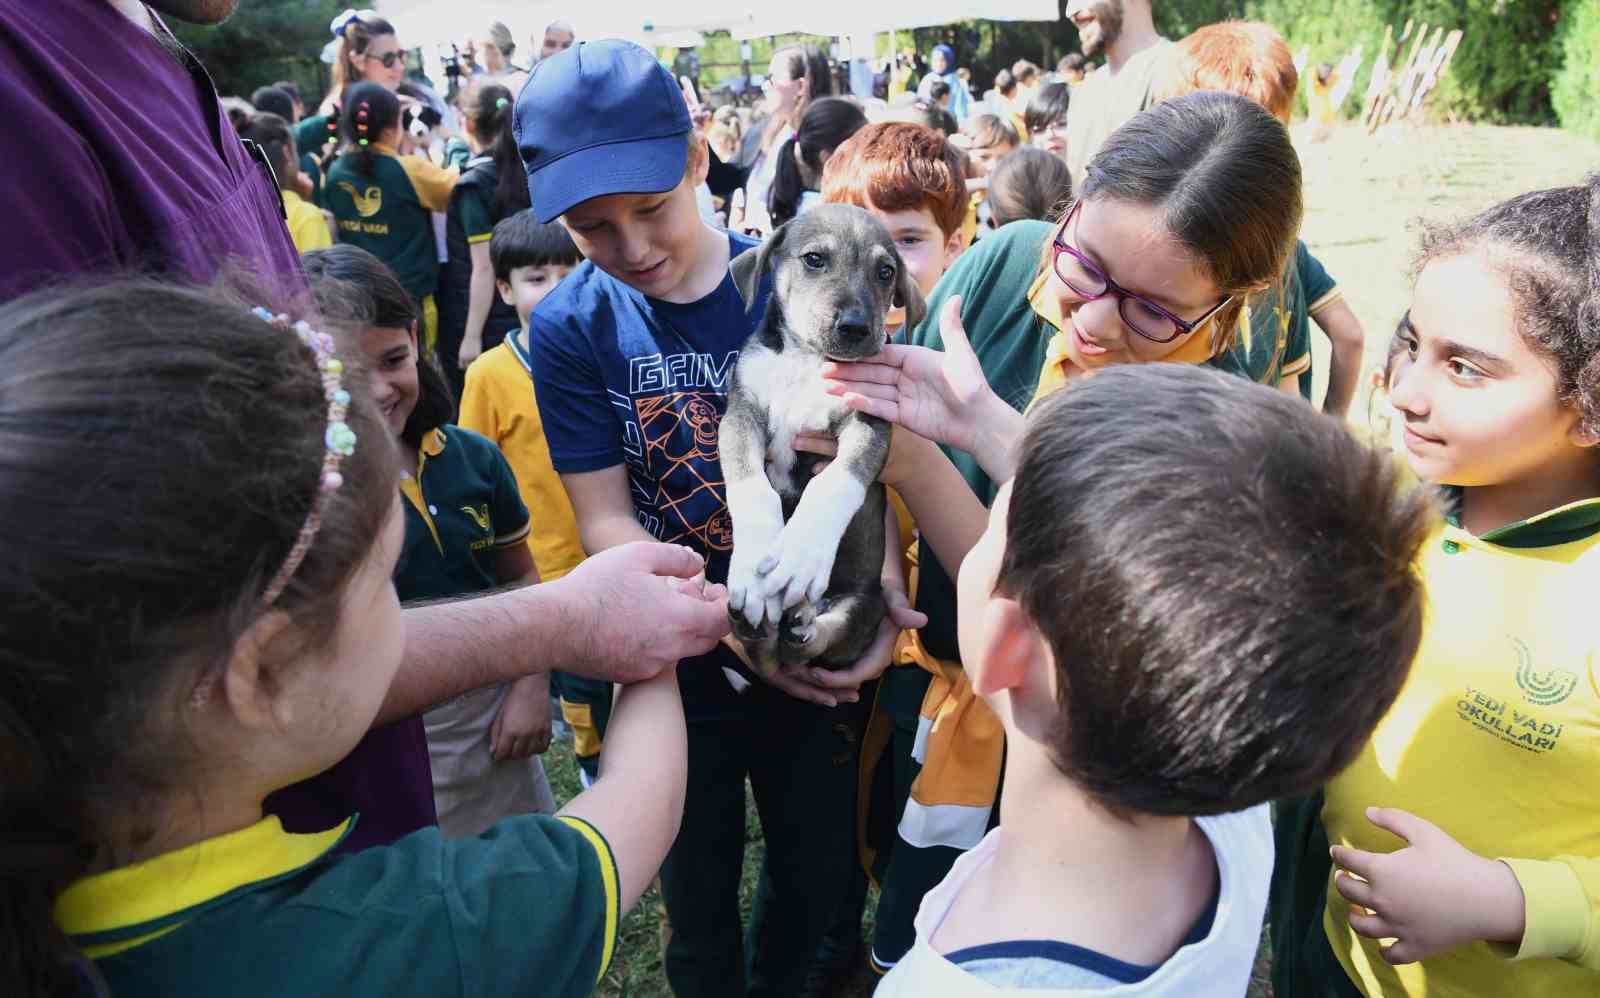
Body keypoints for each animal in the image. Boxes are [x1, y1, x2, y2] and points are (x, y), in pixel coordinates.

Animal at [723, 207, 934, 678]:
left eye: (885, 272)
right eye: (814, 259)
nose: (855, 328)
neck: (809, 361)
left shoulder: (869, 421)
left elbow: (835, 484)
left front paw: (802, 553)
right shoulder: (740, 416)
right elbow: (750, 488)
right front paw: (753, 569)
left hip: (866, 605)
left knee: (819, 641)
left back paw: (802, 625)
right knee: (766, 650)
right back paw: (753, 622)